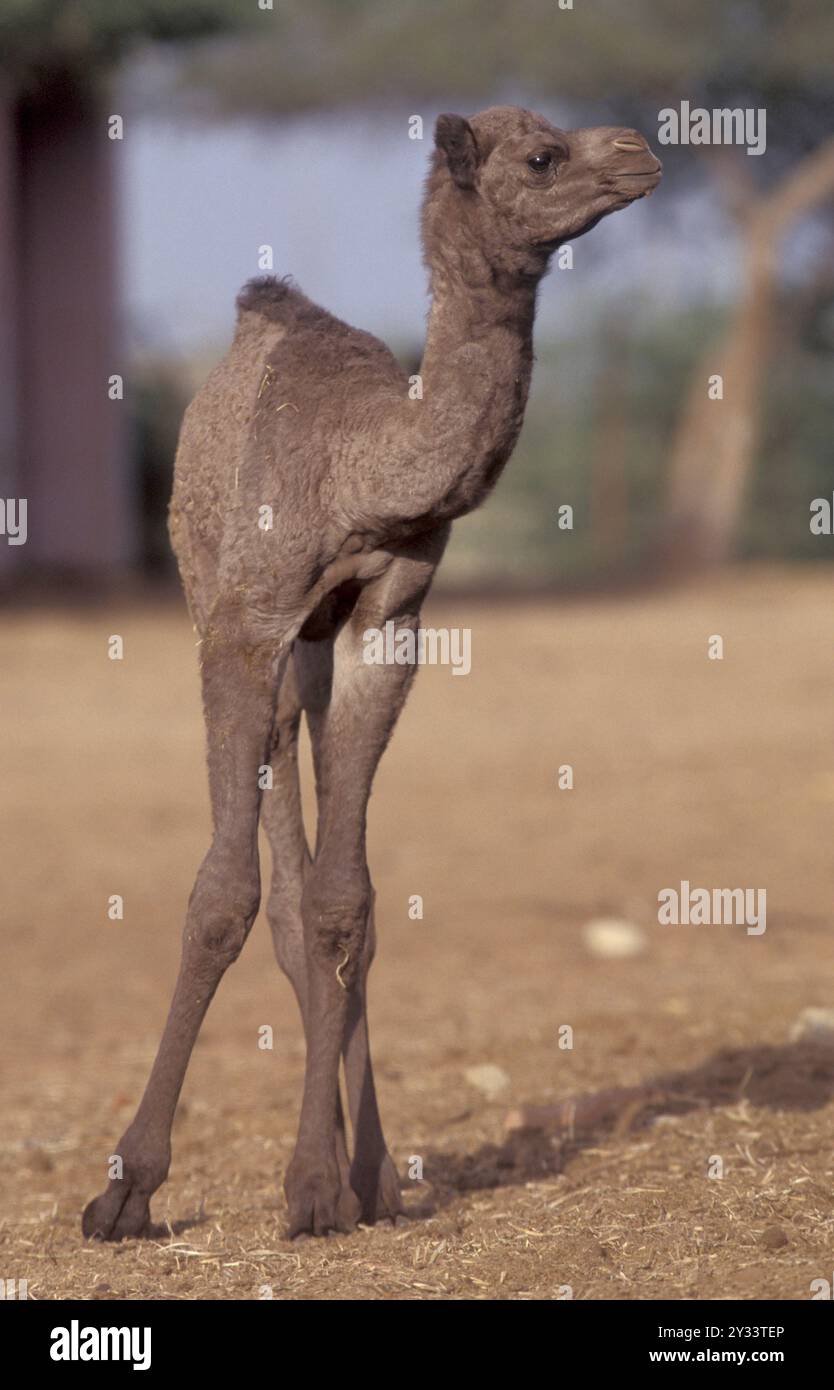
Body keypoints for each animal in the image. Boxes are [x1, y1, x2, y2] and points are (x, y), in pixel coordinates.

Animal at [83, 108, 658, 1239]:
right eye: (541, 157)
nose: (642, 152)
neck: (364, 470)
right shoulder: (246, 624)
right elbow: (223, 897)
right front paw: (127, 1188)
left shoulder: (387, 621)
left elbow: (347, 902)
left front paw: (325, 1183)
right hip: (213, 600)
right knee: (272, 877)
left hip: (311, 658)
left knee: (320, 893)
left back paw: (372, 1173)